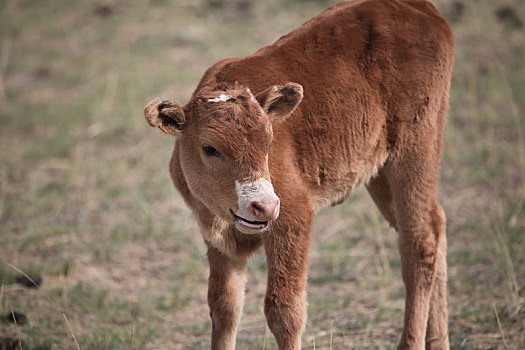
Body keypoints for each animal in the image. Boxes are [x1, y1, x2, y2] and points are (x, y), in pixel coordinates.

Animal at [143, 1, 454, 348]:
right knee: (435, 223)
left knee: (419, 242)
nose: (263, 206)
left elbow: (285, 310)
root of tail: (418, 8)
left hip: (415, 148)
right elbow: (224, 307)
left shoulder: (293, 216)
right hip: (381, 172)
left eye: (269, 141)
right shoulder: (217, 236)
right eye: (209, 148)